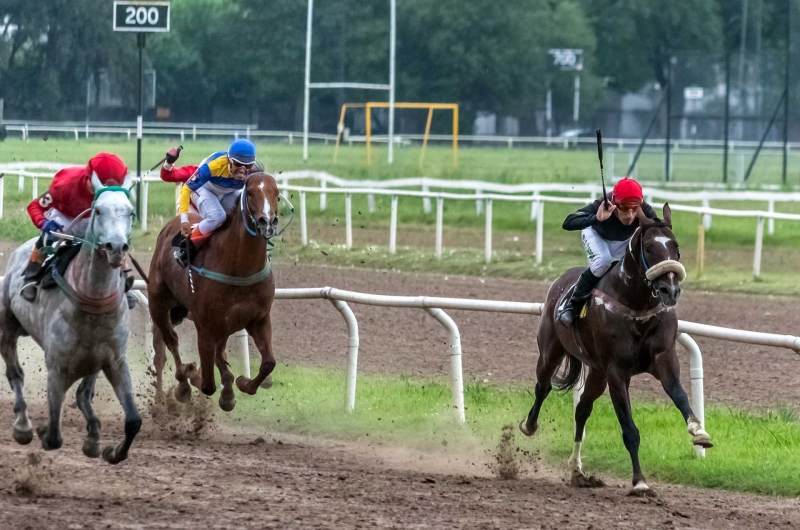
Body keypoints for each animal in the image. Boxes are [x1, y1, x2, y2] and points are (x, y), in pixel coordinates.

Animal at [0, 173, 141, 462]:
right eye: (98, 210)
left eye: (130, 212)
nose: (116, 247)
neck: (92, 302)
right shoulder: (57, 367)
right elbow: (54, 433)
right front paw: (41, 430)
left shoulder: (114, 361)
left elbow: (133, 420)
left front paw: (109, 450)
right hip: (7, 326)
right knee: (15, 373)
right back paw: (23, 425)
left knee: (84, 393)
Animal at [148, 171, 280, 410]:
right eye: (251, 193)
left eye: (277, 193)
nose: (267, 221)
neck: (240, 269)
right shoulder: (206, 326)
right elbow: (207, 383)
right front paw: (192, 375)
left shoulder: (259, 318)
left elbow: (268, 363)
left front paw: (243, 383)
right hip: (159, 303)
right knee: (171, 340)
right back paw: (183, 384)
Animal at [520, 204, 712, 492]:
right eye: (648, 249)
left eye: (676, 249)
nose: (670, 290)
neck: (637, 304)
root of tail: (561, 280)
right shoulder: (617, 372)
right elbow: (630, 430)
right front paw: (639, 481)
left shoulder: (663, 358)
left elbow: (680, 396)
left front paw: (699, 432)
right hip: (551, 350)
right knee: (543, 387)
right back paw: (530, 425)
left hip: (597, 373)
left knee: (582, 409)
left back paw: (577, 470)